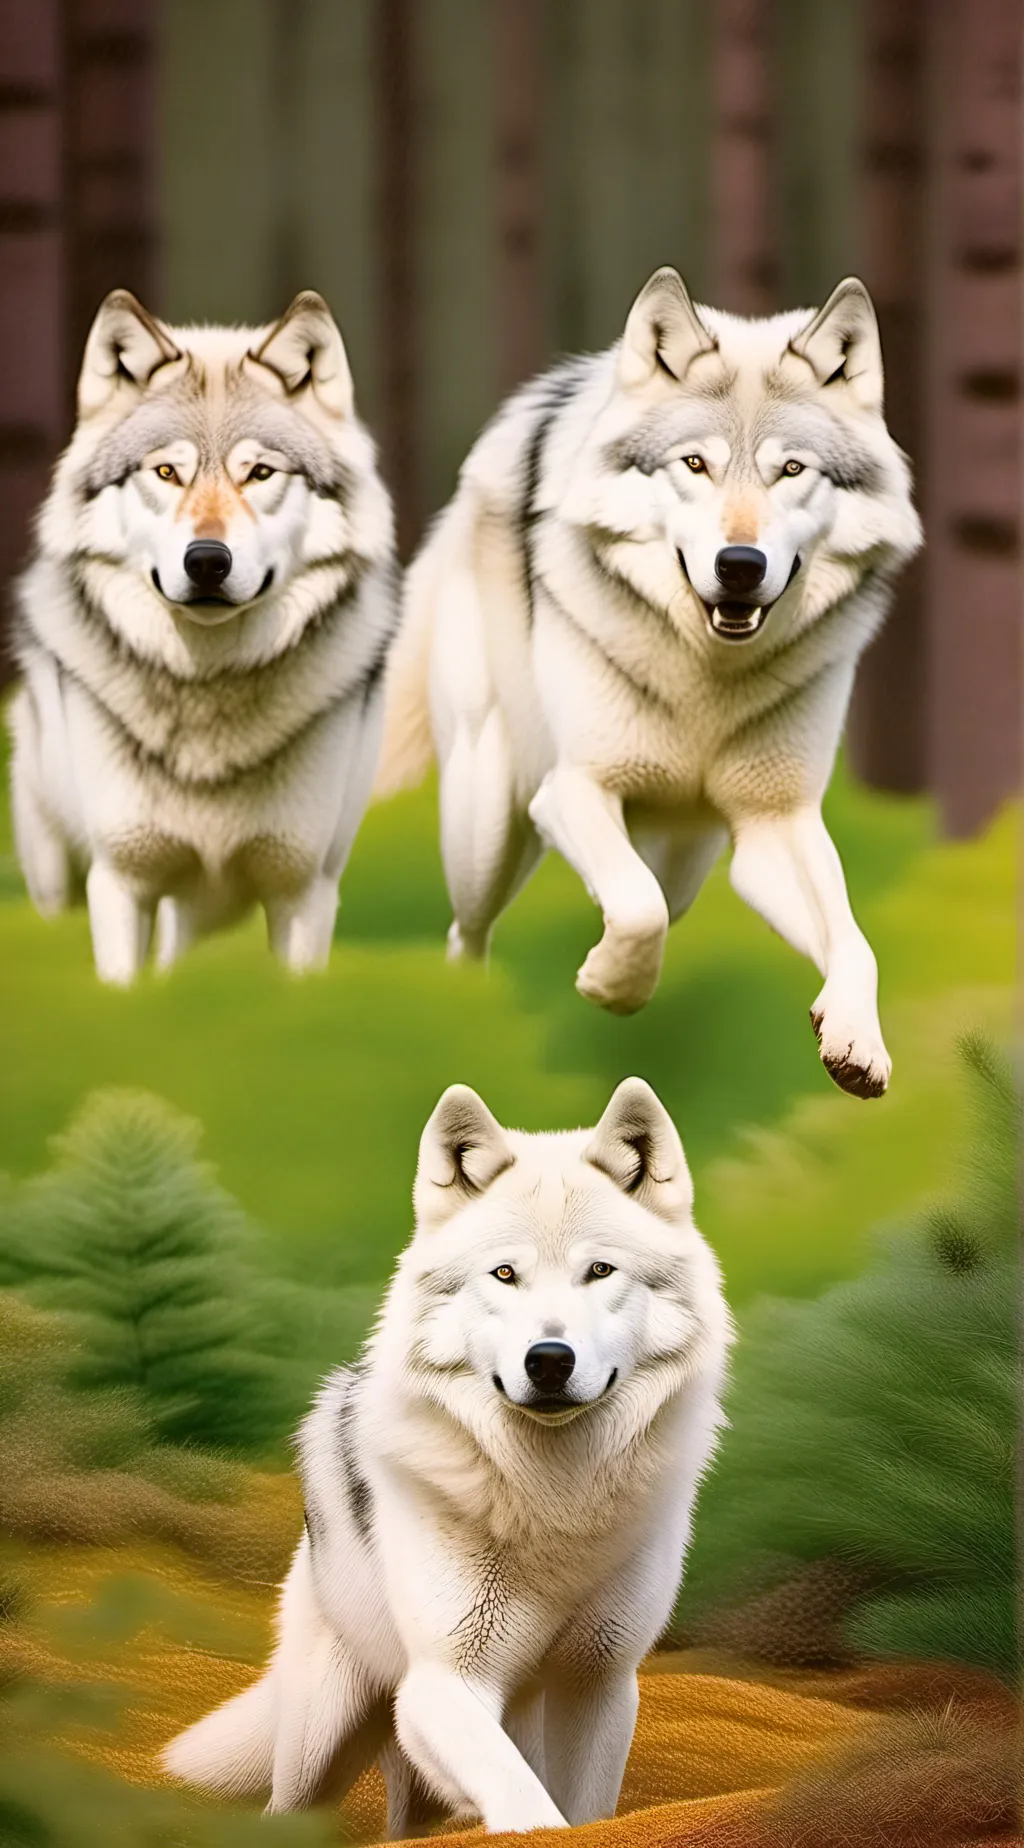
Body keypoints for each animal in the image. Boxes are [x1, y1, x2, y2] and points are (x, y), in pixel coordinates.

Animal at [9, 288, 396, 983]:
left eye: (260, 473)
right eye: (166, 472)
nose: (208, 562)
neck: (208, 689)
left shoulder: (303, 890)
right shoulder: (121, 883)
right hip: (57, 876)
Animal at [163, 1077, 730, 1833]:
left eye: (600, 1271)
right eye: (505, 1273)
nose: (549, 1360)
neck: (555, 1497)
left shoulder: (600, 1684)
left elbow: (581, 1814)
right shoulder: (443, 1683)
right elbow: (525, 1804)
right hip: (321, 1747)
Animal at [377, 270, 922, 1097]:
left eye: (791, 470)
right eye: (695, 465)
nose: (740, 565)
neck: (708, 677)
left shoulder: (777, 825)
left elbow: (856, 943)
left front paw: (856, 1040)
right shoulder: (572, 788)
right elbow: (637, 912)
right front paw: (611, 985)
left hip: (686, 856)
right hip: (486, 830)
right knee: (467, 934)